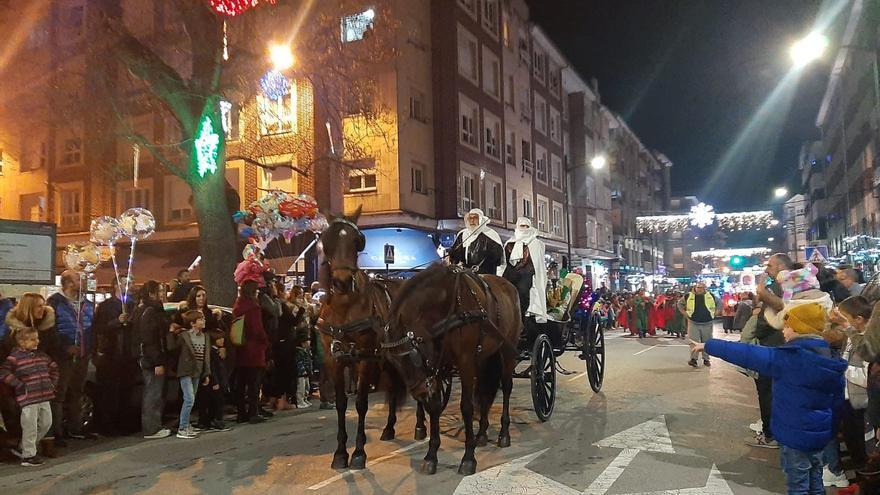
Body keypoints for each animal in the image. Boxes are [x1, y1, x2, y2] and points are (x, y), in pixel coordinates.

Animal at [320, 212, 422, 468]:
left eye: (358, 241)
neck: (344, 308)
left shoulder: (365, 359)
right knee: (395, 387)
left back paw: (420, 426)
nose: (342, 281)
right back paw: (389, 427)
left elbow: (361, 403)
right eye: (326, 239)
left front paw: (358, 452)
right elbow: (341, 403)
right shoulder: (334, 360)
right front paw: (340, 453)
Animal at [380, 266, 520, 474]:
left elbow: (467, 407)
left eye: (411, 355)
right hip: (483, 358)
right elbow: (435, 407)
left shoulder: (465, 362)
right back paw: (482, 433)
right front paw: (431, 455)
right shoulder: (437, 366)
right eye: (393, 362)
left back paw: (504, 433)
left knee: (506, 387)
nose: (419, 393)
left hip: (507, 350)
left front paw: (468, 457)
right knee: (484, 392)